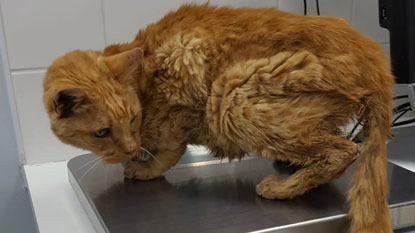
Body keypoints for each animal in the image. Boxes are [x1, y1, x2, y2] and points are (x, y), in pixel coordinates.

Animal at [44, 4, 394, 233]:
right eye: (102, 132)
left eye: (132, 120)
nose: (130, 147)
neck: (144, 83)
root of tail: (378, 63)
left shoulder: (183, 83)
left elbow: (169, 151)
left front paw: (145, 167)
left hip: (231, 95)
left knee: (344, 151)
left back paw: (282, 187)